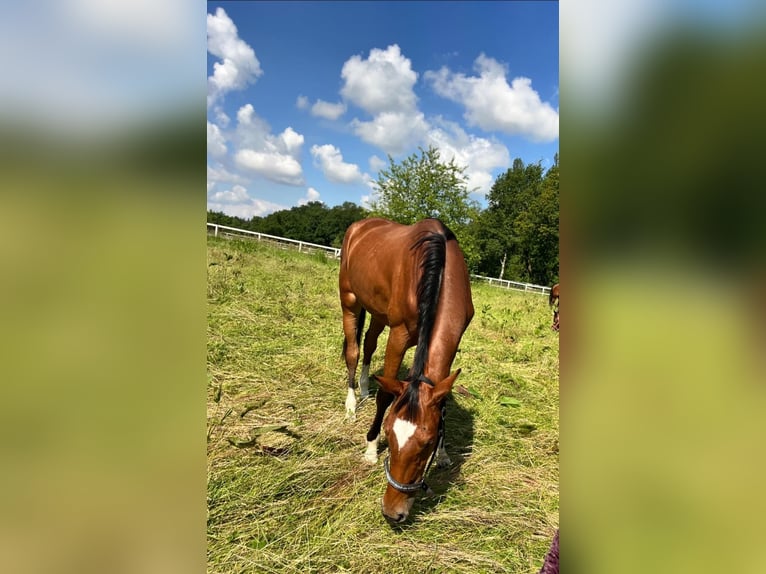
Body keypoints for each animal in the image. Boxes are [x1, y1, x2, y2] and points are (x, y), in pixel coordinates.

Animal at [340, 218, 474, 524]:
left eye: (427, 444)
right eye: (389, 434)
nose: (392, 513)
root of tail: (359, 226)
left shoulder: (453, 342)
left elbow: (442, 400)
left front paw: (443, 454)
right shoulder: (399, 335)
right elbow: (386, 396)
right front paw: (370, 448)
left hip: (378, 313)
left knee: (368, 343)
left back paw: (364, 388)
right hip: (350, 301)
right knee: (353, 351)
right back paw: (352, 402)